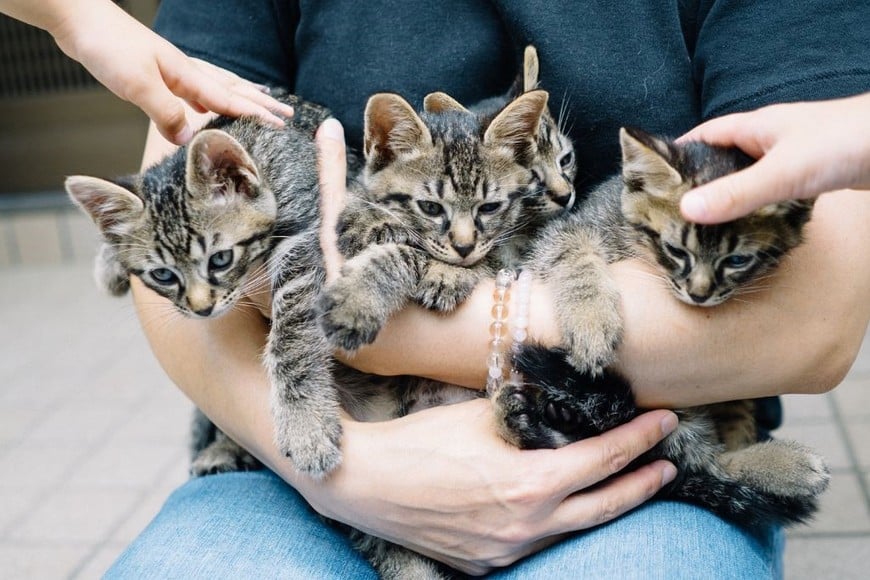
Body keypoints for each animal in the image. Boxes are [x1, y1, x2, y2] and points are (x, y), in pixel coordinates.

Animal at [490, 128, 832, 532]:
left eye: (737, 260)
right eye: (676, 250)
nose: (700, 294)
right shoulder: (567, 229)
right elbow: (571, 255)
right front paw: (591, 320)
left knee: (702, 462)